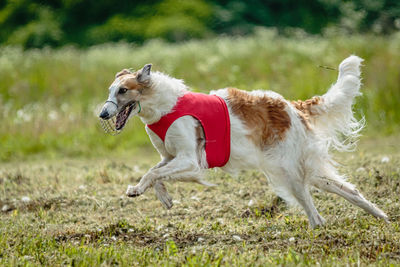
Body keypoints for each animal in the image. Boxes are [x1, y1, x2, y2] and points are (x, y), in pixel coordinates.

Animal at [98, 56, 390, 228]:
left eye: (123, 90)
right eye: (110, 90)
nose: (102, 114)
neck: (166, 105)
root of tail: (292, 106)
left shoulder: (191, 161)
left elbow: (151, 174)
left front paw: (137, 190)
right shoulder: (170, 157)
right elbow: (156, 172)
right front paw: (164, 198)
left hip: (291, 173)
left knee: (317, 215)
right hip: (306, 170)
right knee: (349, 191)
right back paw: (382, 216)